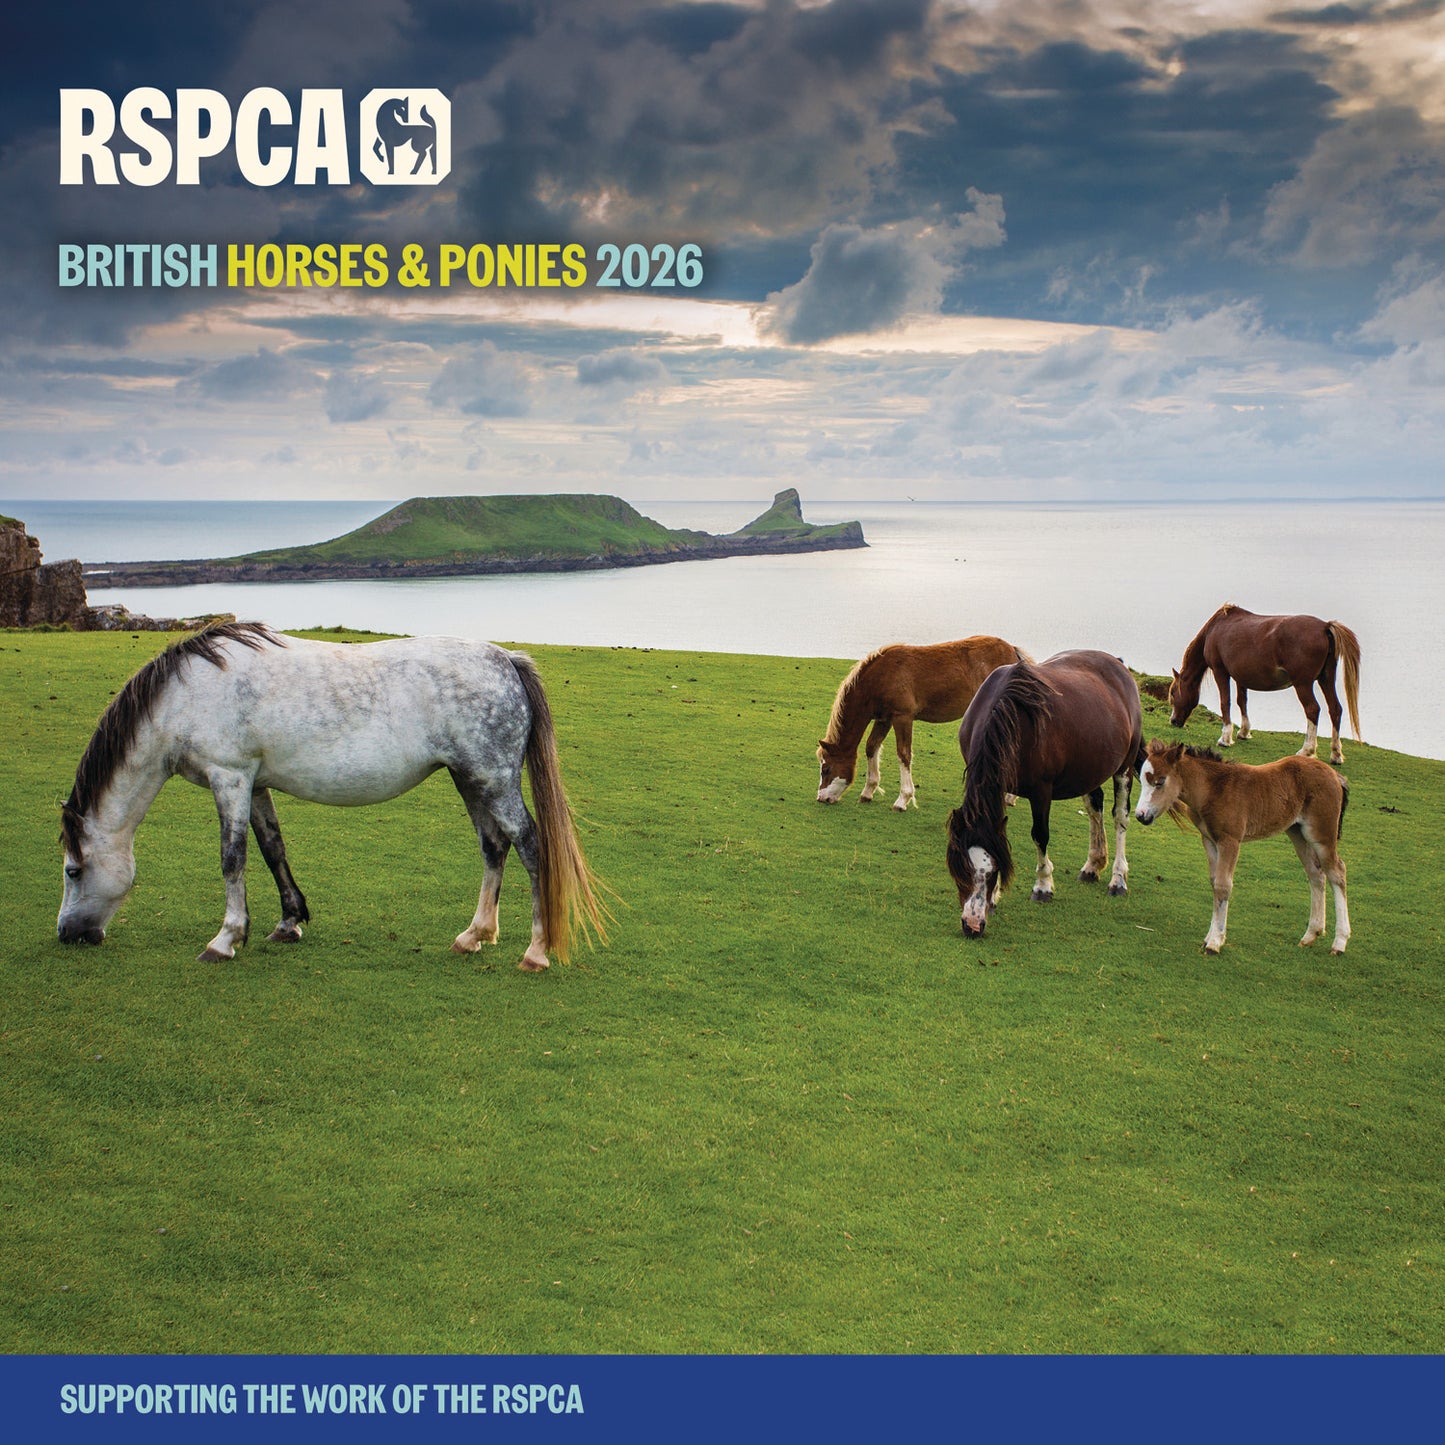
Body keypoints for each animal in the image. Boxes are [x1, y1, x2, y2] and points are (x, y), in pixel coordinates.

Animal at [56, 623, 607, 971]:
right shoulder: (255, 783)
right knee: (494, 847)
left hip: (493, 779)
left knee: (531, 846)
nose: (68, 935)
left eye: (73, 870)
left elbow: (232, 858)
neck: (188, 695)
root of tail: (506, 660)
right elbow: (272, 848)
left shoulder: (229, 777)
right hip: (471, 779)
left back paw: (535, 952)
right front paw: (288, 922)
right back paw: (474, 935)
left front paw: (226, 938)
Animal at [816, 636, 1028, 811]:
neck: (882, 676)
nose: (821, 798)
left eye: (826, 769)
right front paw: (868, 791)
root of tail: (1012, 650)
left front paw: (903, 799)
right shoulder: (884, 719)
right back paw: (1010, 797)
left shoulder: (903, 717)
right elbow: (872, 747)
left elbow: (903, 754)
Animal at [946, 651, 1143, 938]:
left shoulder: (1041, 791)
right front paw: (995, 897)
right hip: (1090, 768)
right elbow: (998, 835)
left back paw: (1118, 879)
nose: (972, 926)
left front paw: (1043, 886)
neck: (1011, 715)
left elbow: (1040, 836)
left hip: (1123, 768)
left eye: (992, 872)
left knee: (1120, 818)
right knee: (1095, 806)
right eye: (960, 870)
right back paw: (1093, 865)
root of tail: (1118, 664)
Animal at [1135, 740, 1350, 955]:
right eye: (1143, 781)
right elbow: (1214, 882)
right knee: (1316, 874)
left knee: (1337, 872)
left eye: (1160, 781)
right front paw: (1209, 938)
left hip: (1321, 835)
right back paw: (1311, 935)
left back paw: (1339, 942)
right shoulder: (1209, 840)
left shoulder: (1230, 840)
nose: (1140, 815)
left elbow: (1223, 885)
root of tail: (1335, 775)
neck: (1213, 789)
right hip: (1297, 832)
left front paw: (1215, 942)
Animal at [1167, 604, 1361, 764]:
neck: (1216, 628)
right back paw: (1336, 754)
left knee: (1313, 709)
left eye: (1173, 693)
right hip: (1326, 679)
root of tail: (1325, 627)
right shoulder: (1240, 677)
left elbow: (1225, 702)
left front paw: (1225, 738)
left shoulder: (1220, 671)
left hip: (1303, 684)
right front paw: (1243, 732)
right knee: (1335, 709)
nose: (1174, 721)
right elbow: (1241, 701)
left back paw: (1307, 750)